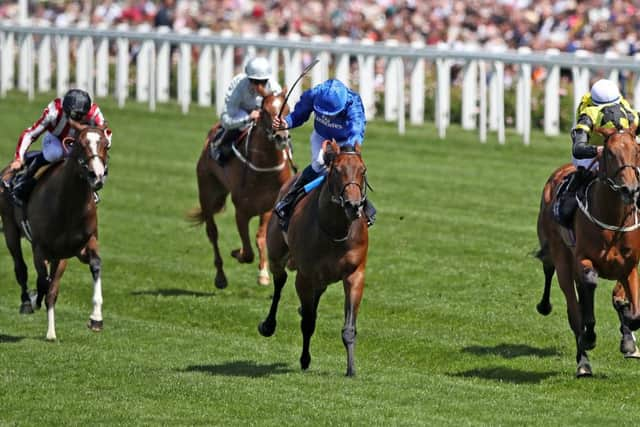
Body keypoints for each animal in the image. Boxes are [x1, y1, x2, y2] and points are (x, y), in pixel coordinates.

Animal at [0, 123, 109, 342]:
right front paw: (34, 300)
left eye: (105, 145)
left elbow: (95, 265)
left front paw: (96, 319)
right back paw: (27, 302)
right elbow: (43, 282)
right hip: (9, 228)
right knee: (21, 267)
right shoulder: (40, 248)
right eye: (81, 144)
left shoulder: (81, 246)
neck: (69, 205)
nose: (97, 176)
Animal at [188, 88, 292, 290]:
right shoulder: (241, 211)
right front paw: (238, 252)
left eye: (288, 109)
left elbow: (260, 238)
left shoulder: (268, 208)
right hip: (208, 192)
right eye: (265, 111)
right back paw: (220, 277)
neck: (264, 169)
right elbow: (248, 253)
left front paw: (263, 274)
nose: (281, 137)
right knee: (212, 232)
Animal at [258, 141, 370, 378]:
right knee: (280, 284)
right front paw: (304, 359)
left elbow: (349, 328)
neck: (335, 230)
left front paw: (351, 369)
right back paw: (268, 325)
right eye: (337, 171)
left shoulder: (355, 274)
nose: (353, 205)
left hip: (322, 280)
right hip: (277, 256)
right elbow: (308, 323)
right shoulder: (305, 276)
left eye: (363, 170)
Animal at [536, 124, 640, 378]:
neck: (613, 221)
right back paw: (583, 361)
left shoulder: (630, 266)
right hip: (561, 257)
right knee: (572, 309)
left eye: (636, 151)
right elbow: (590, 286)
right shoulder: (583, 260)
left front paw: (629, 339)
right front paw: (591, 337)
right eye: (610, 153)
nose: (630, 189)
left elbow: (632, 310)